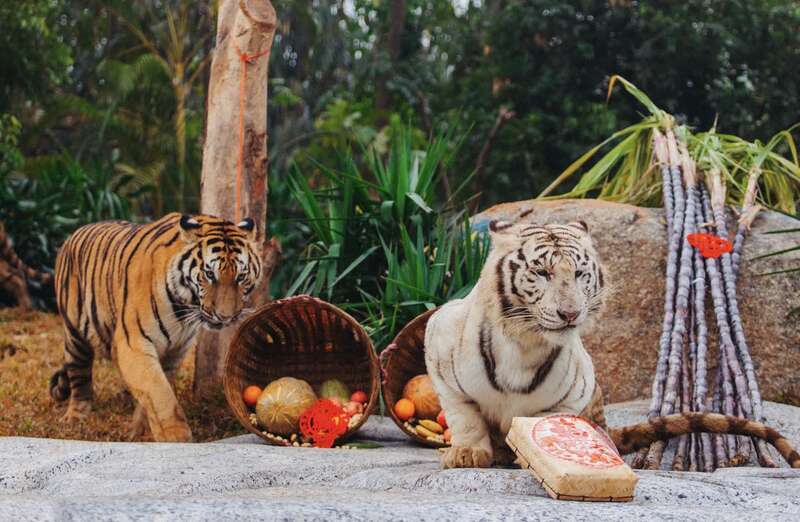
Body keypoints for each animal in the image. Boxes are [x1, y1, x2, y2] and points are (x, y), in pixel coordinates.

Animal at [48, 211, 262, 438]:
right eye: (210, 274)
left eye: (241, 276)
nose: (225, 317)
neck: (185, 308)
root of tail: (76, 232)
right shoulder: (133, 344)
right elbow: (160, 393)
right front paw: (176, 437)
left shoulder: (174, 352)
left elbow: (152, 394)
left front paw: (140, 433)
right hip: (75, 334)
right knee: (79, 376)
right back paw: (75, 417)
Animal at [424, 215, 608, 468]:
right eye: (542, 272)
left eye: (579, 273)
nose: (570, 314)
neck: (526, 343)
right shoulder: (439, 347)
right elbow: (465, 417)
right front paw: (467, 453)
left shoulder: (574, 393)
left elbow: (543, 421)